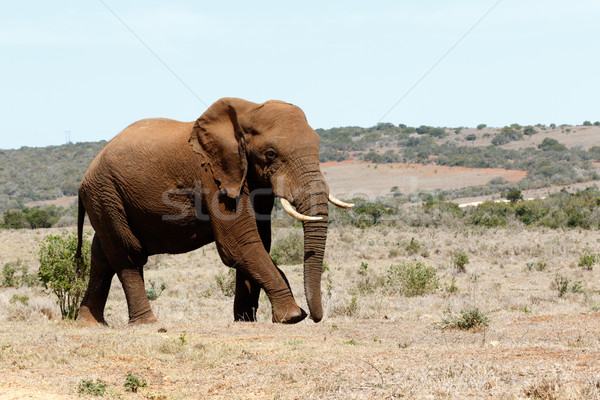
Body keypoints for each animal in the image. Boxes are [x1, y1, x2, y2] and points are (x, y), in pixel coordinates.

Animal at [75, 96, 354, 324]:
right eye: (271, 154)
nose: (315, 317)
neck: (246, 112)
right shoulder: (212, 176)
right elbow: (239, 243)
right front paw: (292, 317)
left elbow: (259, 240)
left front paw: (245, 320)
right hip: (106, 193)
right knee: (128, 254)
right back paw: (147, 324)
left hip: (106, 198)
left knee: (101, 255)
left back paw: (89, 324)